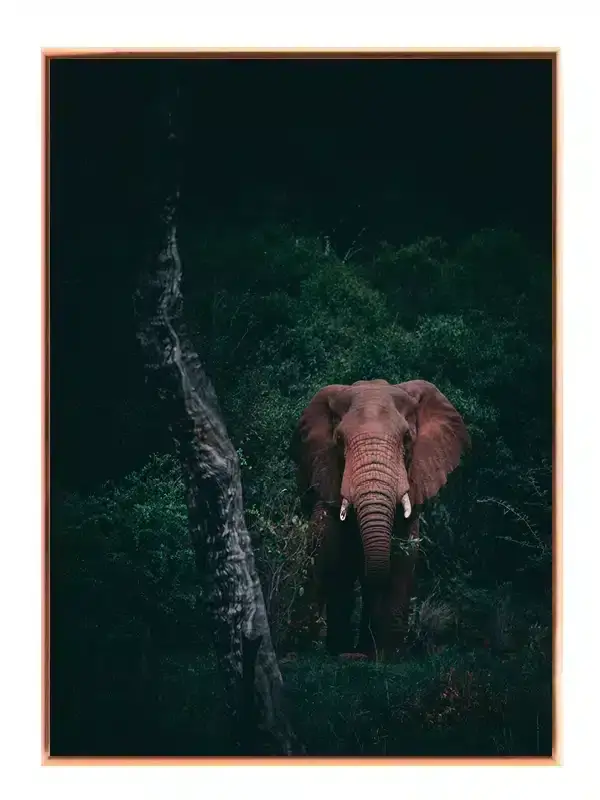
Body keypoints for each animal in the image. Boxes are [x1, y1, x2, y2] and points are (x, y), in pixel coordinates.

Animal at [291, 379, 470, 660]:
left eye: (407, 438)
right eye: (339, 440)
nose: (356, 655)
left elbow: (401, 558)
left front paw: (387, 657)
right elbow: (321, 554)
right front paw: (300, 652)